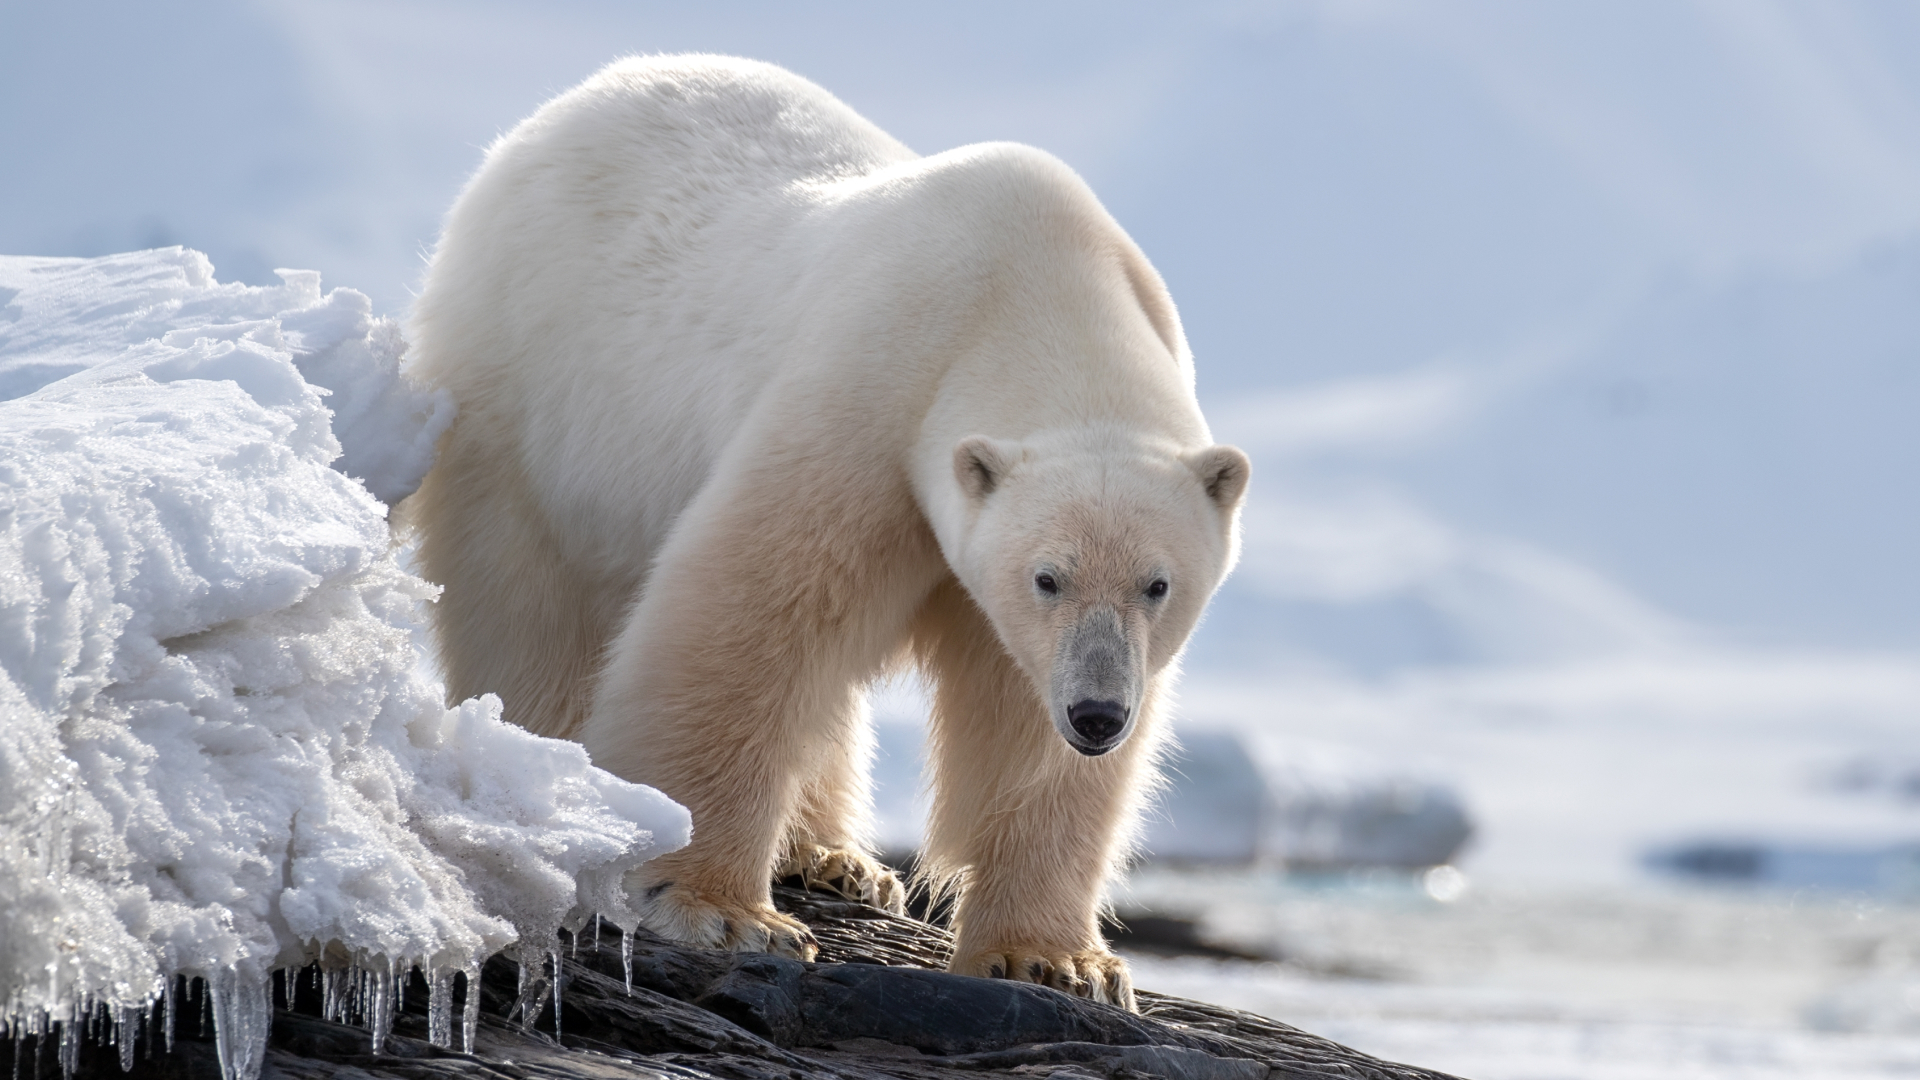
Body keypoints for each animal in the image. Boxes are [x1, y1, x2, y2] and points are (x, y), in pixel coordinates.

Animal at [402, 55, 1248, 1010]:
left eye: (1158, 584)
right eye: (1047, 577)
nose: (1099, 714)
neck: (1037, 292)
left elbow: (1021, 725)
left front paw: (1058, 961)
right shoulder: (874, 396)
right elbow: (753, 609)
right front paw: (722, 910)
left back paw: (837, 860)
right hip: (531, 409)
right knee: (535, 616)